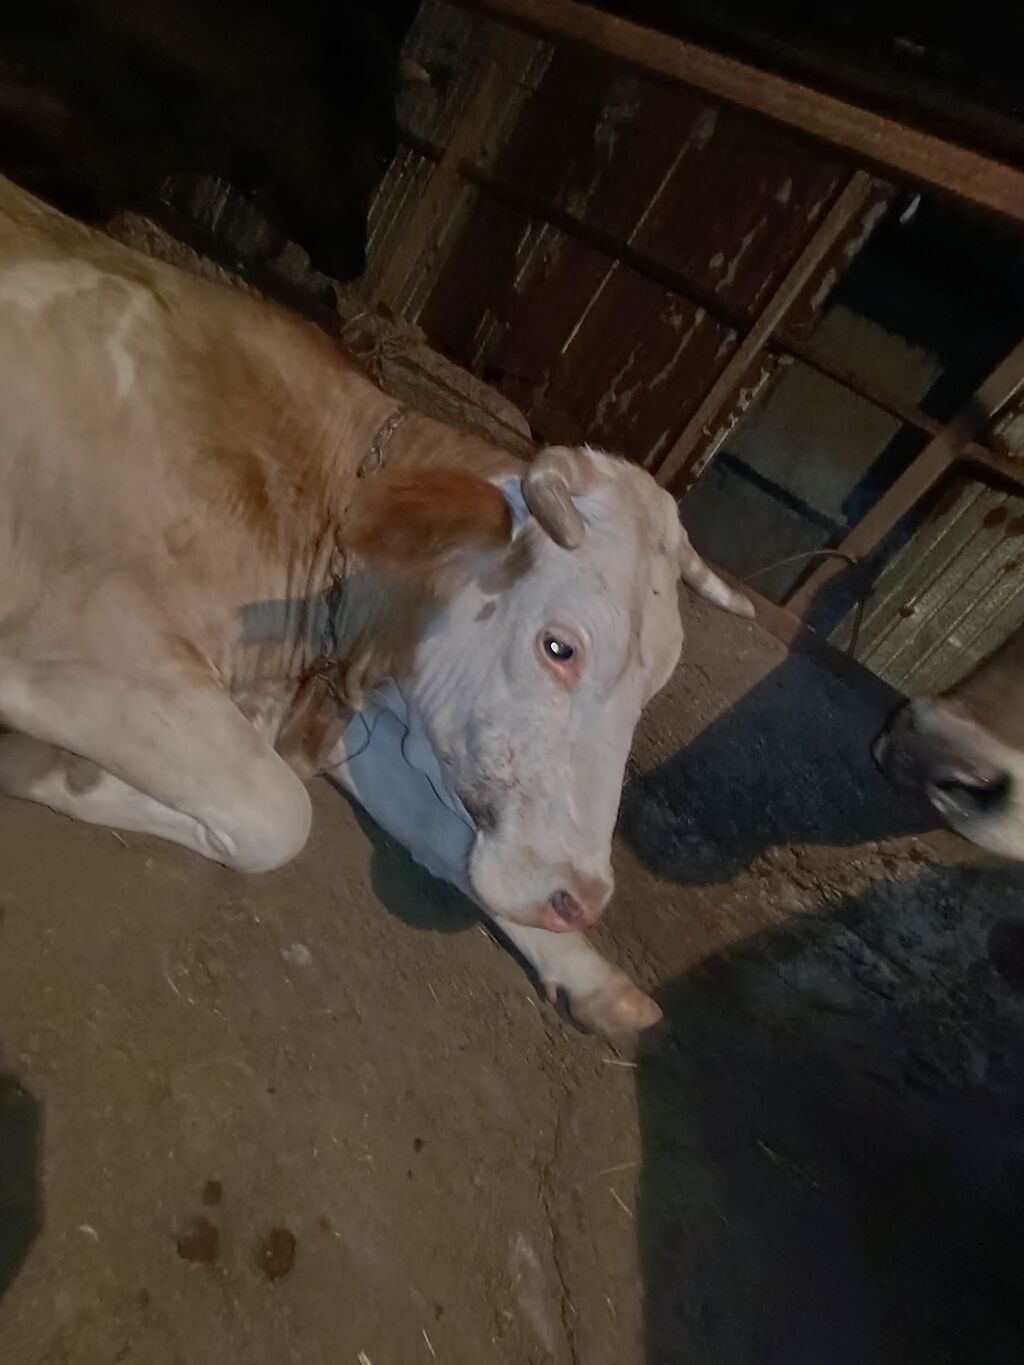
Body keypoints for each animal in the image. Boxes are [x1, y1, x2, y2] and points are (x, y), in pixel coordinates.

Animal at [0, 175, 753, 1036]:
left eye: (650, 691)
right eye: (559, 646)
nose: (581, 898)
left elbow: (434, 832)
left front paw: (590, 973)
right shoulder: (88, 638)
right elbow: (277, 812)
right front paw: (45, 767)